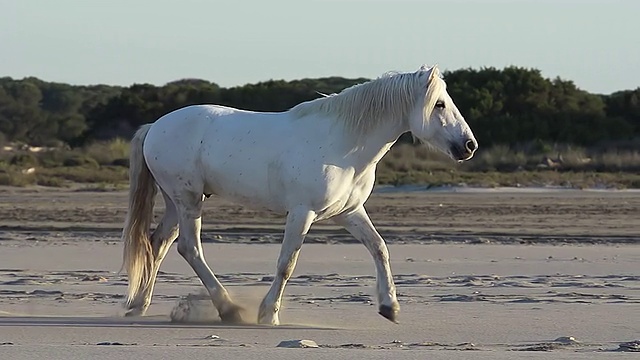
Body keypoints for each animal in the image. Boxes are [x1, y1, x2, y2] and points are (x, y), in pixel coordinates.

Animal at [122, 64, 478, 326]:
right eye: (440, 104)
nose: (469, 145)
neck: (344, 145)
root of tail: (155, 126)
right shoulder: (302, 212)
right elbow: (286, 263)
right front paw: (269, 314)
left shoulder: (349, 212)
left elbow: (379, 248)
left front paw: (390, 307)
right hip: (188, 199)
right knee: (189, 248)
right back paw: (228, 309)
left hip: (177, 201)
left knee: (158, 244)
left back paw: (138, 305)